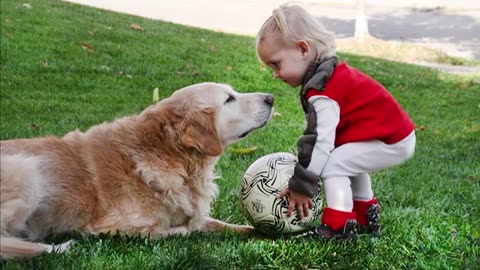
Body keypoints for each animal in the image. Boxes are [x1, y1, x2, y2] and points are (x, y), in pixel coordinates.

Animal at [0, 81, 274, 258]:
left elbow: (221, 224)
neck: (170, 154)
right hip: (27, 169)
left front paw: (259, 233)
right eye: (229, 99)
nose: (271, 97)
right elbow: (180, 231)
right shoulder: (120, 228)